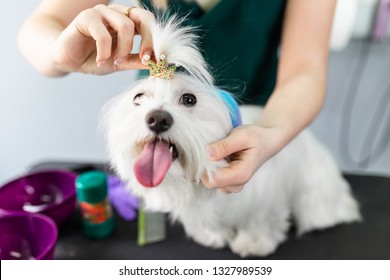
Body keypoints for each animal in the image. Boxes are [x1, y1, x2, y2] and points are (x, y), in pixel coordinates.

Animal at [102, 15, 362, 256]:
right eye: (139, 98)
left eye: (189, 99)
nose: (157, 118)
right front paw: (212, 235)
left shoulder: (265, 196)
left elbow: (261, 220)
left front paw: (253, 242)